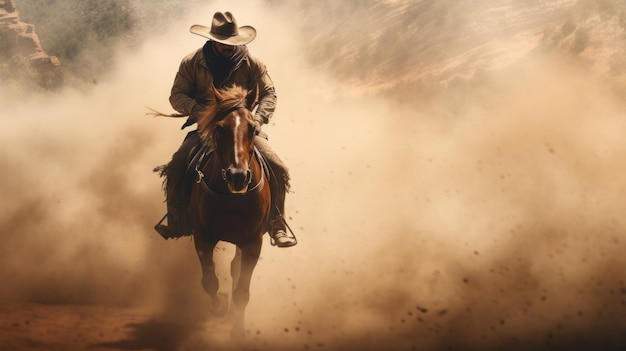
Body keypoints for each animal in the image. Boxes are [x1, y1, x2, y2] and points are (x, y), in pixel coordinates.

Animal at [189, 84, 270, 338]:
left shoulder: (253, 242)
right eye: (219, 128)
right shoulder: (203, 236)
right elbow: (209, 282)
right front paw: (220, 305)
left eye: (252, 128)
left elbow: (242, 291)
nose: (238, 176)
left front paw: (238, 332)